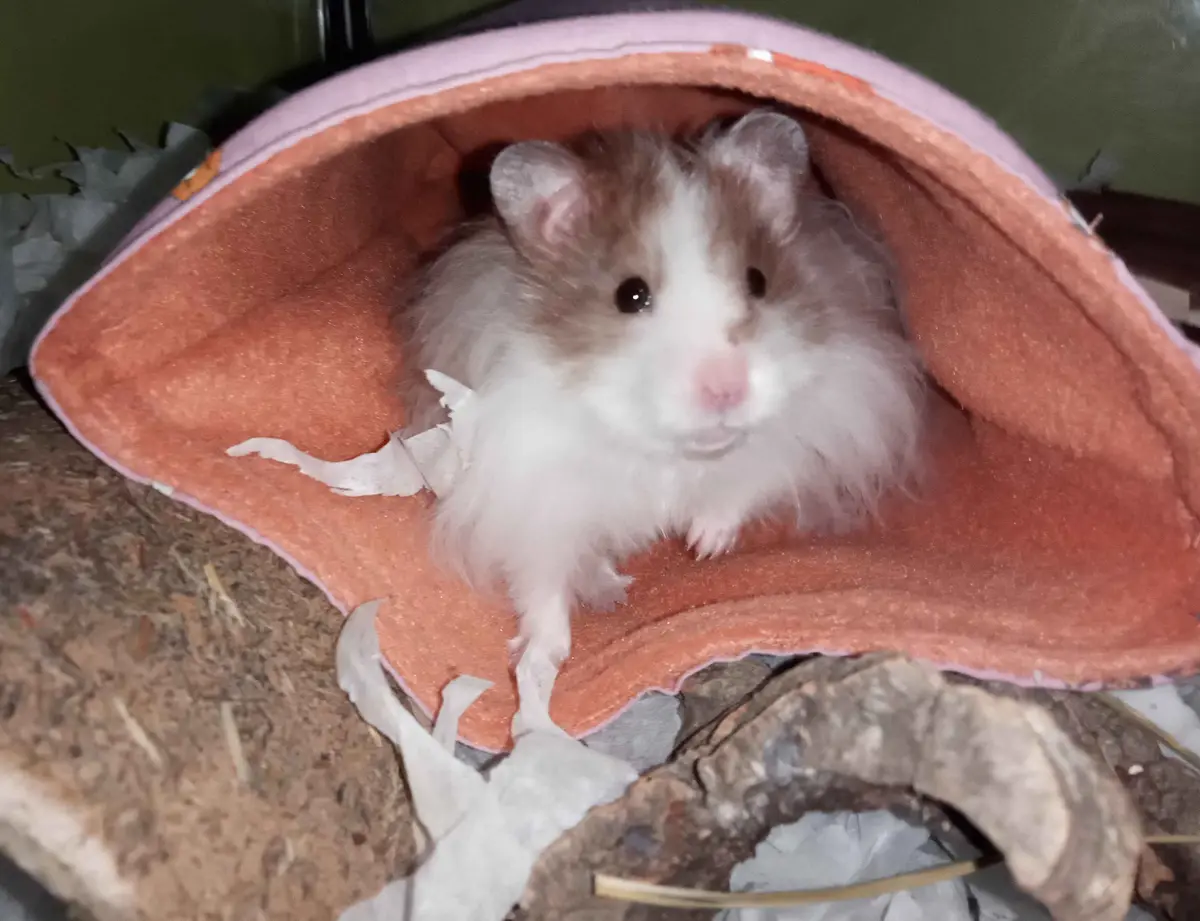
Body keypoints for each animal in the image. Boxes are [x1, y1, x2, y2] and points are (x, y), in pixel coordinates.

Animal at [396, 110, 926, 667]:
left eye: (758, 281)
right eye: (630, 295)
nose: (726, 391)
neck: (668, 450)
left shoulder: (800, 435)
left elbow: (740, 488)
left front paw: (702, 544)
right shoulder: (530, 494)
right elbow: (541, 586)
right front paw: (541, 662)